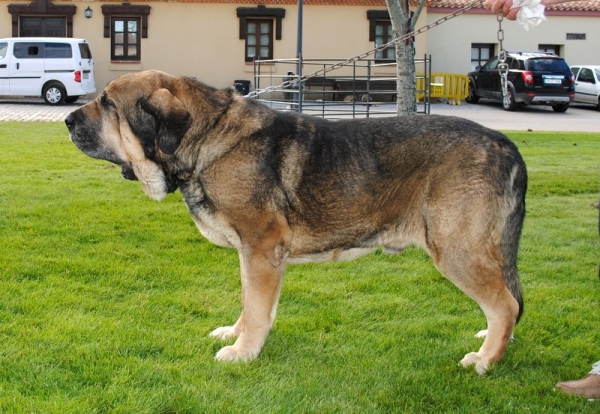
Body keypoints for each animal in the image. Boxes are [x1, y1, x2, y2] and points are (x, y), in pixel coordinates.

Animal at [63, 69, 528, 374]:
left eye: (107, 103)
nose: (66, 120)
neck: (207, 137)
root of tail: (505, 144)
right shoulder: (251, 256)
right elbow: (248, 302)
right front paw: (237, 336)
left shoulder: (262, 250)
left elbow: (256, 309)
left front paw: (243, 353)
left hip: (456, 250)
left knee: (505, 305)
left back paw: (486, 360)